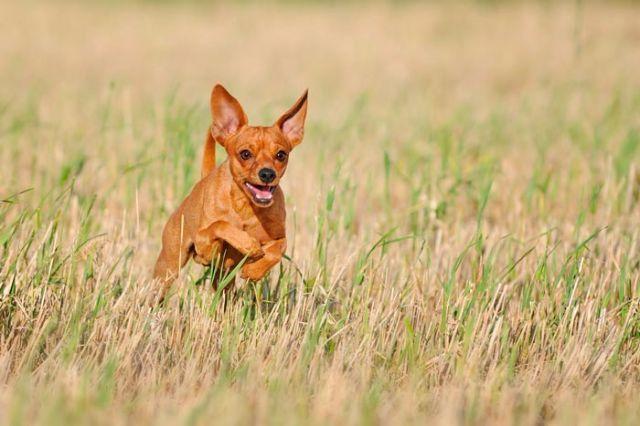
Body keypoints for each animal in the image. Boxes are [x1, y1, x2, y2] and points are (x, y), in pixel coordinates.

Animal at [152, 84, 308, 300]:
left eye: (281, 155)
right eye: (245, 154)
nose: (267, 173)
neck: (247, 208)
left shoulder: (278, 237)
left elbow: (279, 247)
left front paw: (254, 270)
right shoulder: (203, 244)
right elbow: (220, 225)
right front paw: (248, 244)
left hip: (223, 280)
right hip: (169, 266)